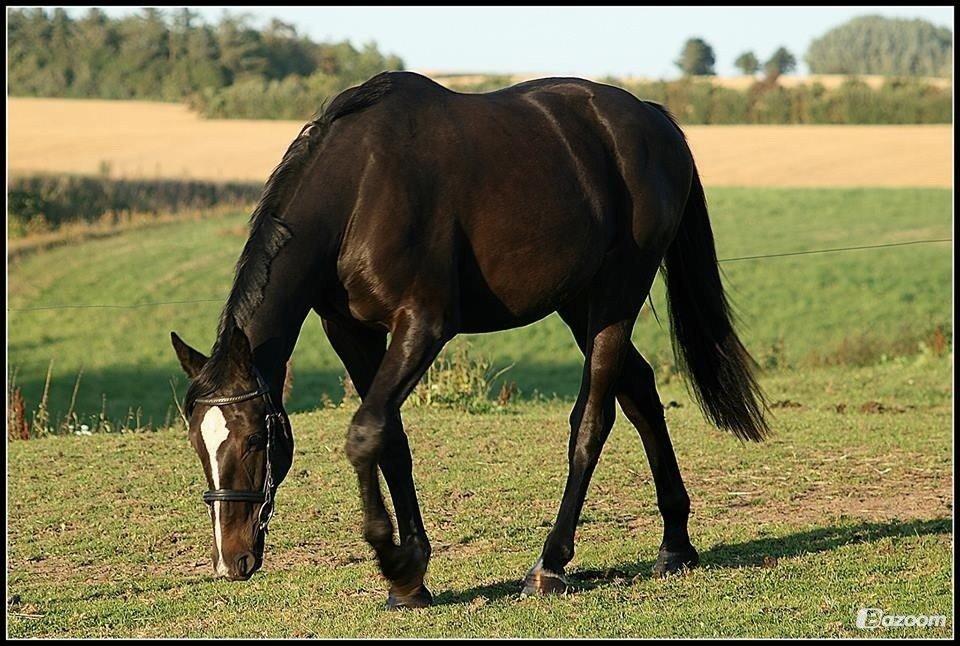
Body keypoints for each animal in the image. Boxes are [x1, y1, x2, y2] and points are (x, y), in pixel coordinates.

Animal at [169, 72, 764, 612]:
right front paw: (411, 581)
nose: (230, 560)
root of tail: (653, 119)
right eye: (199, 442)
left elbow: (365, 433)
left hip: (616, 298)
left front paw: (395, 561)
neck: (359, 188)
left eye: (254, 440)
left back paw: (550, 565)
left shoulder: (423, 325)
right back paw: (675, 544)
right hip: (579, 304)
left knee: (593, 422)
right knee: (639, 391)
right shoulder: (353, 334)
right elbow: (391, 440)